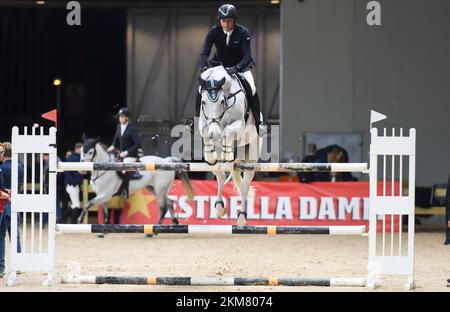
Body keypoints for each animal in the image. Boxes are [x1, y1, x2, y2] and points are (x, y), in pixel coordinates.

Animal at [198, 66, 262, 225]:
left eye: (222, 101)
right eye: (203, 102)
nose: (215, 134)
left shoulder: (239, 124)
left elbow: (227, 131)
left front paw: (227, 153)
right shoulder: (204, 123)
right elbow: (205, 132)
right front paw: (210, 155)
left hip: (251, 158)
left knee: (244, 186)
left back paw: (241, 217)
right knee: (220, 176)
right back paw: (219, 208)